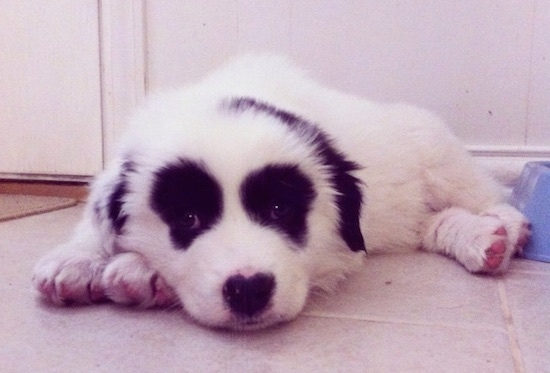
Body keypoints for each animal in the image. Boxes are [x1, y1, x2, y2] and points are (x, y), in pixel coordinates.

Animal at [32, 55, 532, 328]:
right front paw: (77, 261)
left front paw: (137, 274)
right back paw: (477, 239)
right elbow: (95, 219)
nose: (248, 289)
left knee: (486, 195)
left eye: (279, 209)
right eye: (188, 218)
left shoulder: (344, 246)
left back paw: (500, 231)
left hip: (438, 154)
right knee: (429, 224)